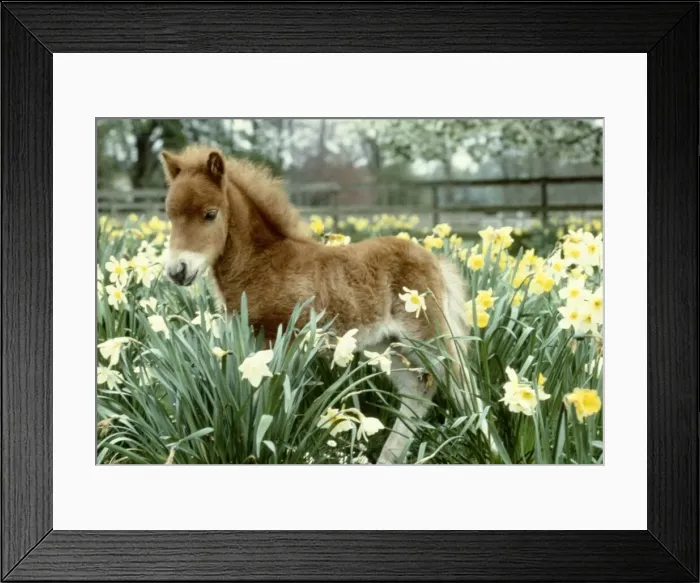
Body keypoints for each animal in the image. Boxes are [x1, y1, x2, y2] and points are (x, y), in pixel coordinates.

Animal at [160, 145, 475, 464]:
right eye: (171, 217)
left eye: (210, 214)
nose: (177, 271)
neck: (264, 263)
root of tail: (432, 258)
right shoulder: (251, 344)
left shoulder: (281, 341)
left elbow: (272, 403)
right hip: (389, 344)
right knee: (418, 389)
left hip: (430, 338)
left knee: (463, 386)